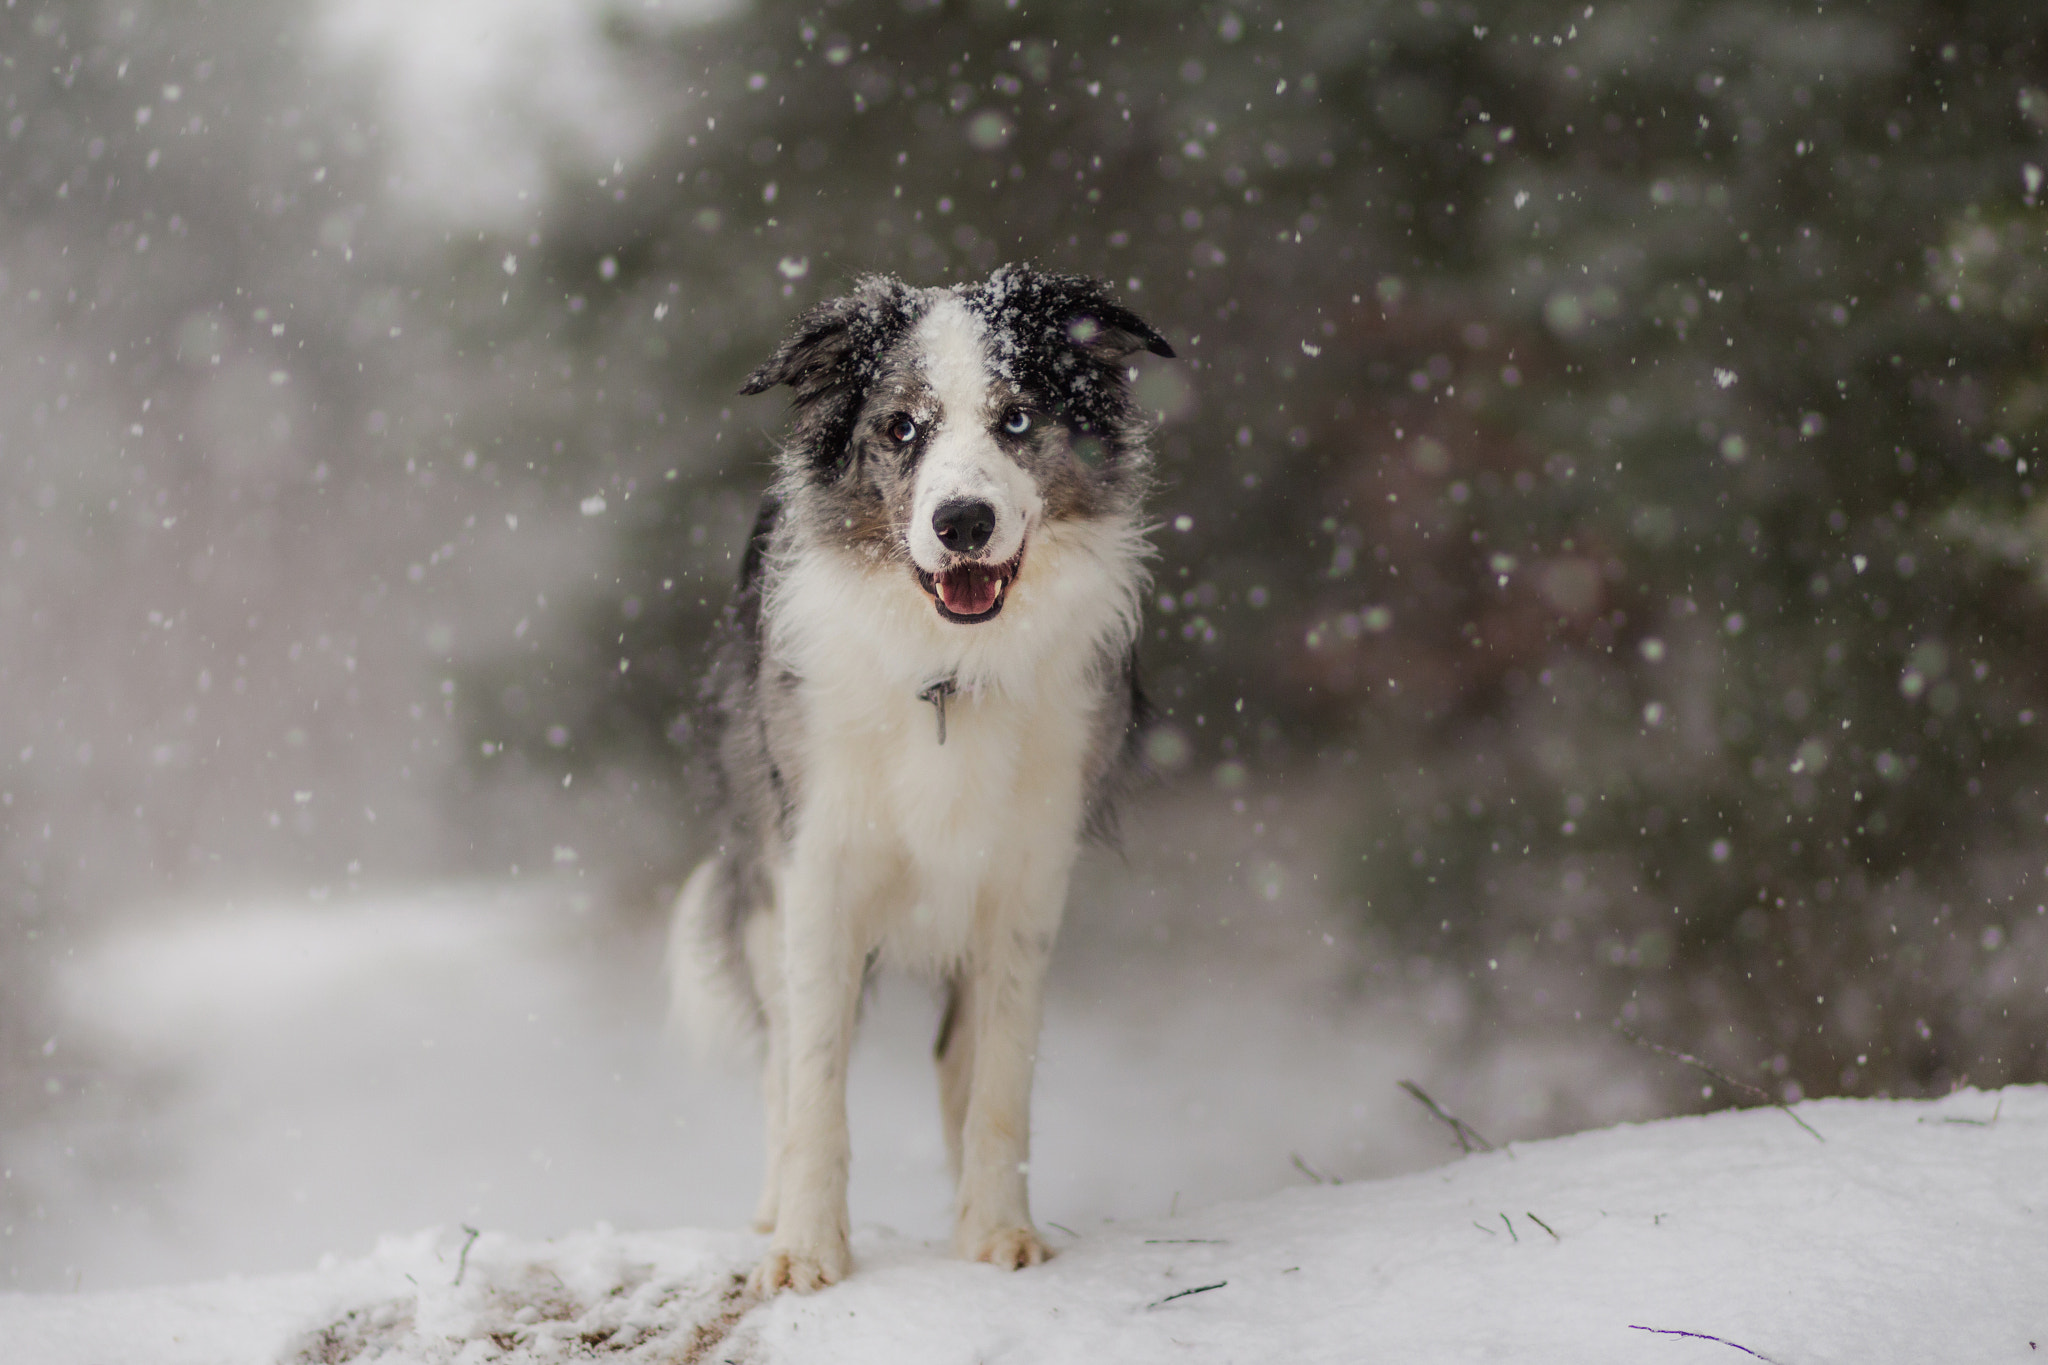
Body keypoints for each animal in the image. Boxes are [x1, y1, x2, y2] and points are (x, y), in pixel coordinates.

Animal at [671, 263, 1179, 1293]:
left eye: (1017, 418)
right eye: (902, 426)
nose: (963, 521)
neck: (951, 665)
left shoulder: (1028, 877)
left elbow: (999, 1077)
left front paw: (999, 1233)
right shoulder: (815, 864)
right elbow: (817, 1077)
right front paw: (806, 1249)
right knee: (783, 1055)